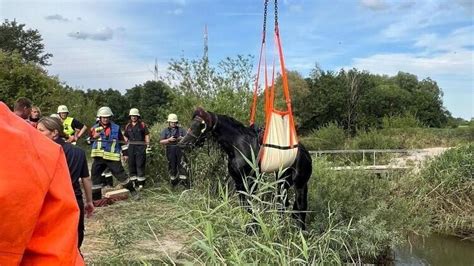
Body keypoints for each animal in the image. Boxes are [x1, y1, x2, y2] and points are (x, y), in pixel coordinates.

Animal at [180, 107, 312, 230]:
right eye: (191, 124)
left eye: (201, 125)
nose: (182, 144)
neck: (239, 144)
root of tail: (306, 153)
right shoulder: (238, 182)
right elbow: (244, 204)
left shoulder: (250, 181)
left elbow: (249, 203)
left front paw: (252, 227)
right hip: (283, 182)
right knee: (284, 204)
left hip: (299, 184)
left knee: (301, 206)